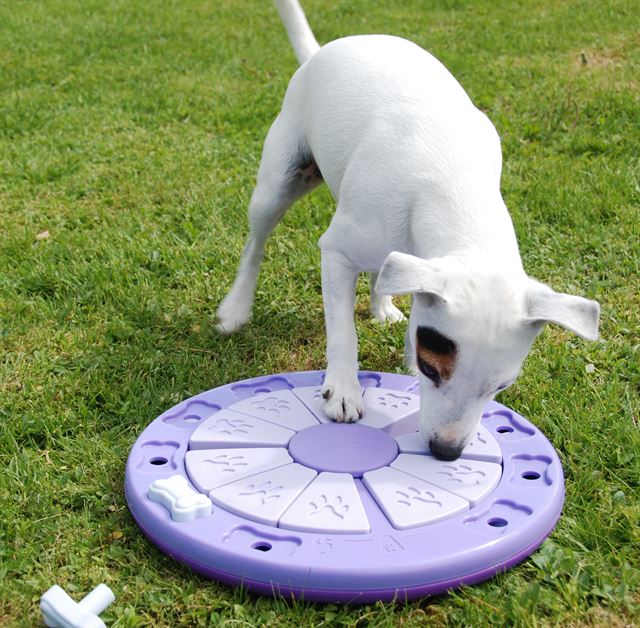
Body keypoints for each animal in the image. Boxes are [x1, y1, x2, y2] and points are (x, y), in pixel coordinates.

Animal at [216, 1, 600, 462]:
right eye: (428, 366)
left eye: (502, 386)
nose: (446, 451)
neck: (454, 187)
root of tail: (321, 51)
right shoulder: (336, 252)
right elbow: (341, 332)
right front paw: (342, 389)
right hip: (279, 181)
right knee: (255, 244)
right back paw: (236, 308)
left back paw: (382, 305)